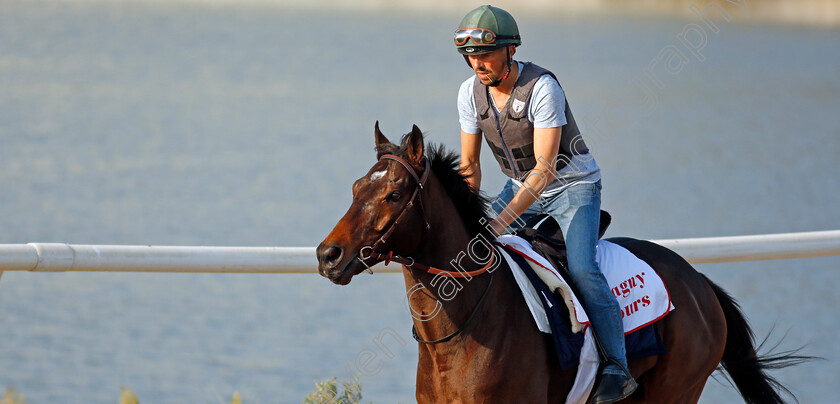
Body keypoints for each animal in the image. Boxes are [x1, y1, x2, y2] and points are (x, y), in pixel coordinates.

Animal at [318, 124, 804, 404]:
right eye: (357, 186)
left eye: (394, 194)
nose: (328, 255)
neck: (457, 338)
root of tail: (700, 283)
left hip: (676, 390)